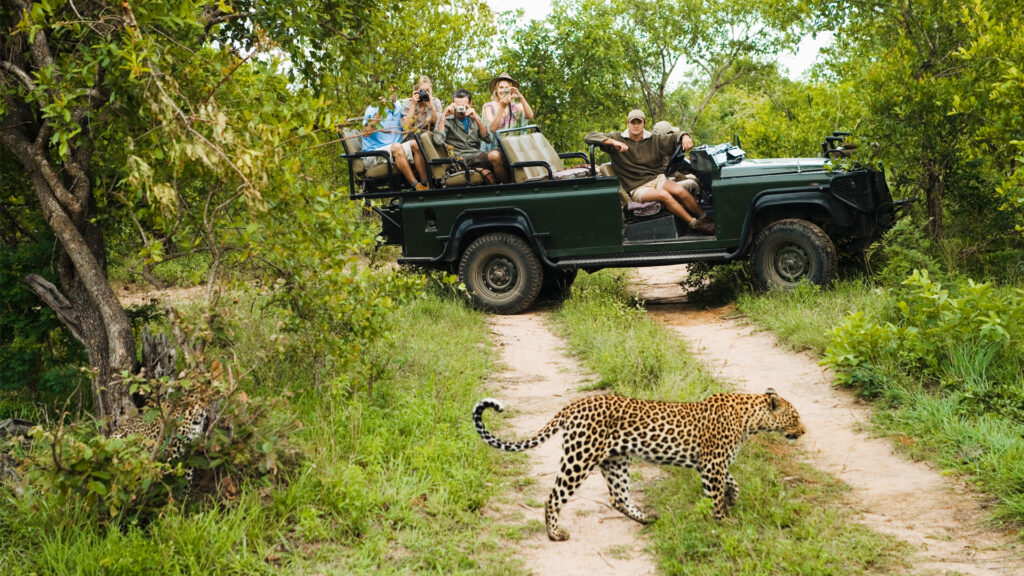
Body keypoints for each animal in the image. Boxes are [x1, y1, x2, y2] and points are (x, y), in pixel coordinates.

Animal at [473, 388, 805, 541]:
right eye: (795, 417)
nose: (803, 431)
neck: (750, 420)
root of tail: (573, 405)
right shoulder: (712, 465)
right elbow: (716, 496)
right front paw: (724, 524)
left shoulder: (712, 465)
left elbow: (732, 481)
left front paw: (732, 498)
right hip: (580, 458)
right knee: (554, 497)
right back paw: (555, 534)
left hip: (615, 460)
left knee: (618, 497)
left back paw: (647, 519)